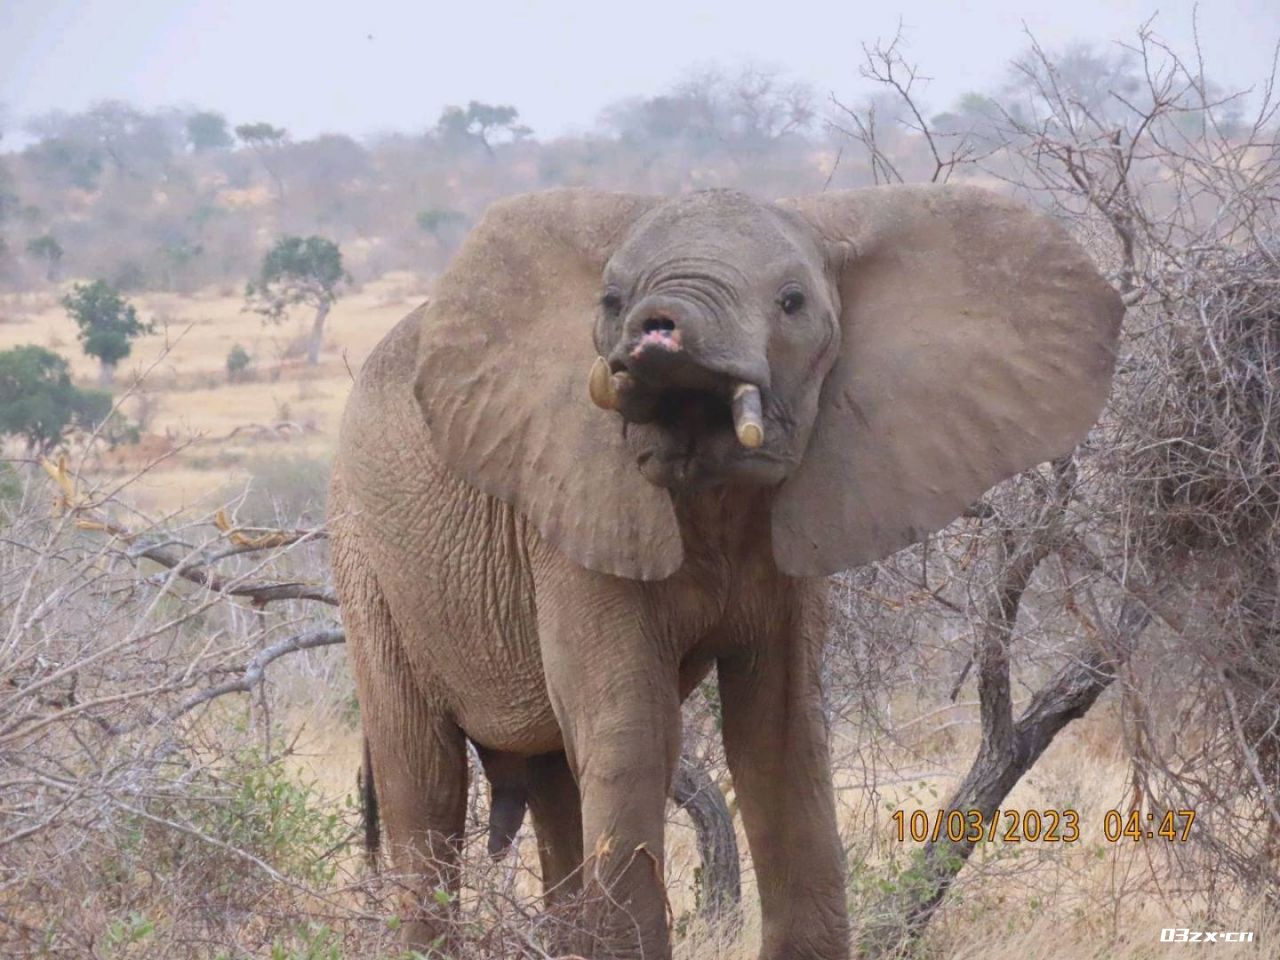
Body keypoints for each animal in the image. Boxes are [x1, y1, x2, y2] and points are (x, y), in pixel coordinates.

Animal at [330, 184, 1121, 957]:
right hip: (366, 559)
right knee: (424, 787)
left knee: (554, 788)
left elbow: (782, 737)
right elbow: (633, 733)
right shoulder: (574, 506)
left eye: (793, 302)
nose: (658, 332)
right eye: (610, 299)